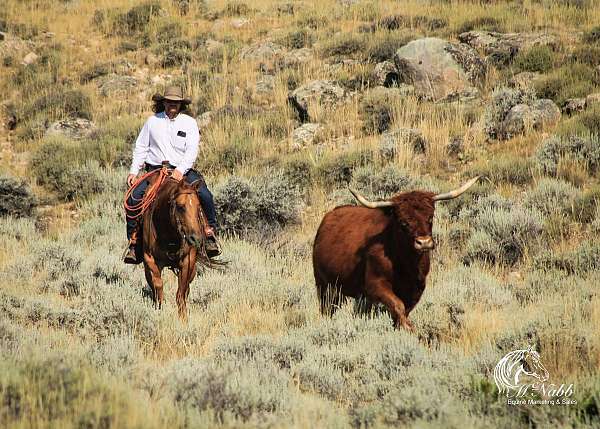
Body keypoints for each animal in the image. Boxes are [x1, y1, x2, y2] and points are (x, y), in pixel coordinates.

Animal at [141, 173, 214, 318]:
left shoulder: (187, 260)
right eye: (180, 206)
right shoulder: (150, 259)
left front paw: (183, 318)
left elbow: (181, 293)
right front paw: (160, 308)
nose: (195, 239)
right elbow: (158, 285)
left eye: (199, 206)